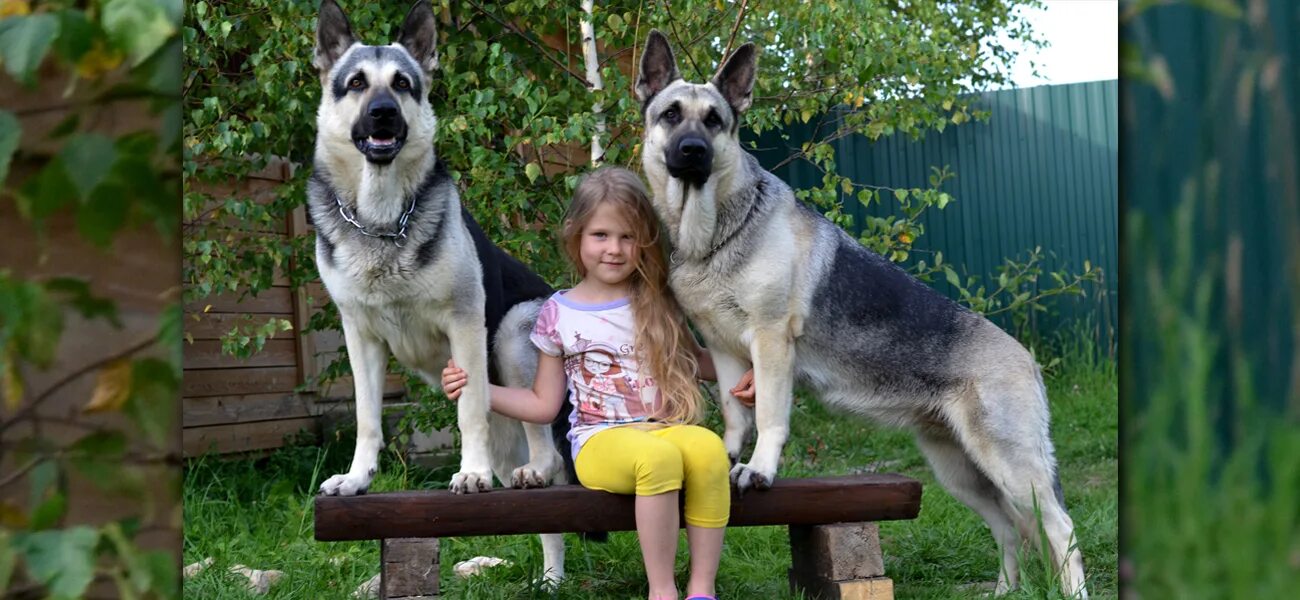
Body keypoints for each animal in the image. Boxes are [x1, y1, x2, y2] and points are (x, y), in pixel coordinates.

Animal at [306, 0, 566, 581]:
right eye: (356, 84)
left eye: (403, 84)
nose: (383, 114)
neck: (382, 221)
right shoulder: (360, 339)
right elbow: (367, 417)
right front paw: (357, 479)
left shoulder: (465, 323)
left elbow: (468, 409)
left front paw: (470, 474)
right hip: (508, 438)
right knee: (547, 515)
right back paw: (552, 581)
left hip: (513, 332)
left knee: (546, 448)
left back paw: (535, 471)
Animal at [637, 30, 1086, 597]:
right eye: (671, 115)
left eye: (713, 120)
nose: (693, 151)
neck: (716, 233)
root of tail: (1027, 359)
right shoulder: (722, 351)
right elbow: (738, 416)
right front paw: (730, 456)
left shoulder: (770, 343)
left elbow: (770, 417)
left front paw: (759, 470)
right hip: (961, 474)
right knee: (1009, 527)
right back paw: (1005, 589)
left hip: (1008, 465)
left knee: (1059, 527)